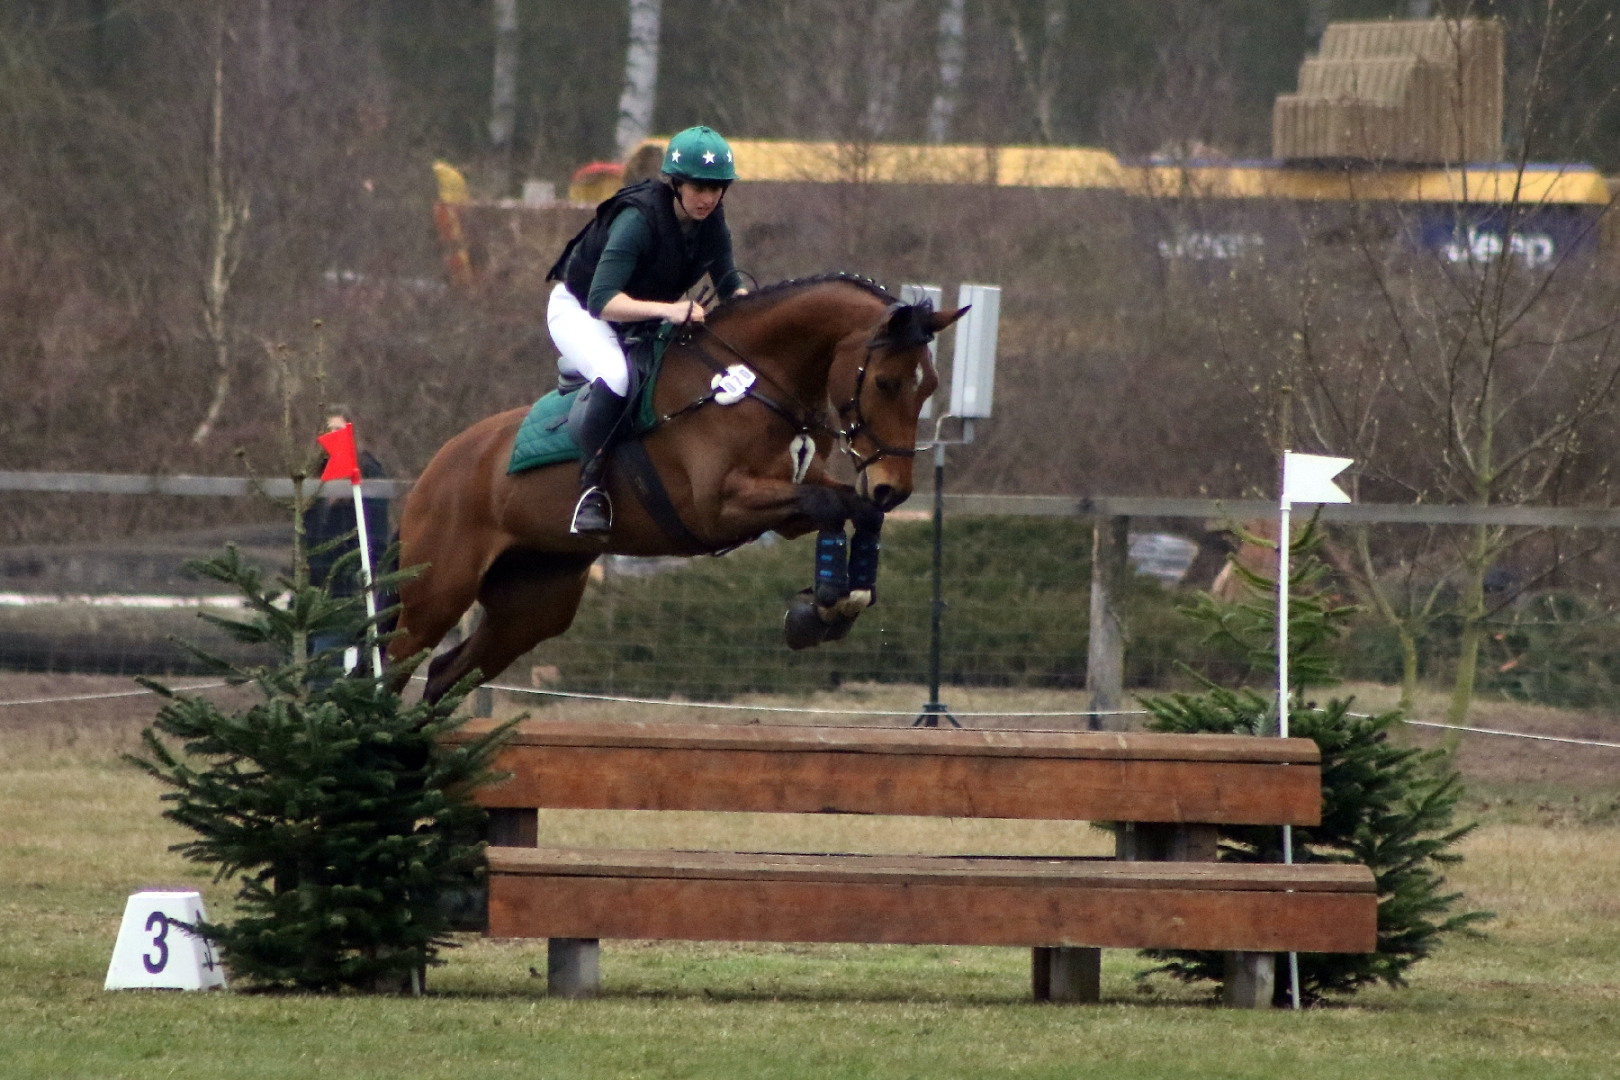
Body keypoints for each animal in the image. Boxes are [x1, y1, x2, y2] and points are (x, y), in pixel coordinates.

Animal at [389, 274, 966, 703]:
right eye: (885, 383)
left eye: (930, 388)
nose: (894, 489)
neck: (754, 382)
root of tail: (434, 470)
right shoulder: (717, 508)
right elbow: (831, 504)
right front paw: (823, 604)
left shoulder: (787, 501)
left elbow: (850, 509)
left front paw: (835, 605)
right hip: (437, 592)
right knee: (393, 667)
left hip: (532, 603)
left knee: (444, 674)